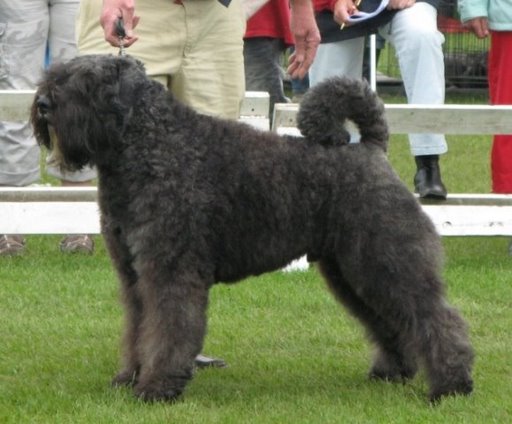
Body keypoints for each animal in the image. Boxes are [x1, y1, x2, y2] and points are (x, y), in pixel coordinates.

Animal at [31, 54, 472, 402]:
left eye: (87, 82)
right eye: (58, 73)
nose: (43, 104)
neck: (150, 142)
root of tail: (370, 148)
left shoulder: (168, 271)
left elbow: (168, 329)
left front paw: (156, 388)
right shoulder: (134, 275)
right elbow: (139, 329)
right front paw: (128, 378)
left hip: (386, 258)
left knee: (435, 317)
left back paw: (451, 386)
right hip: (350, 271)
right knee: (388, 320)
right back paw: (392, 372)